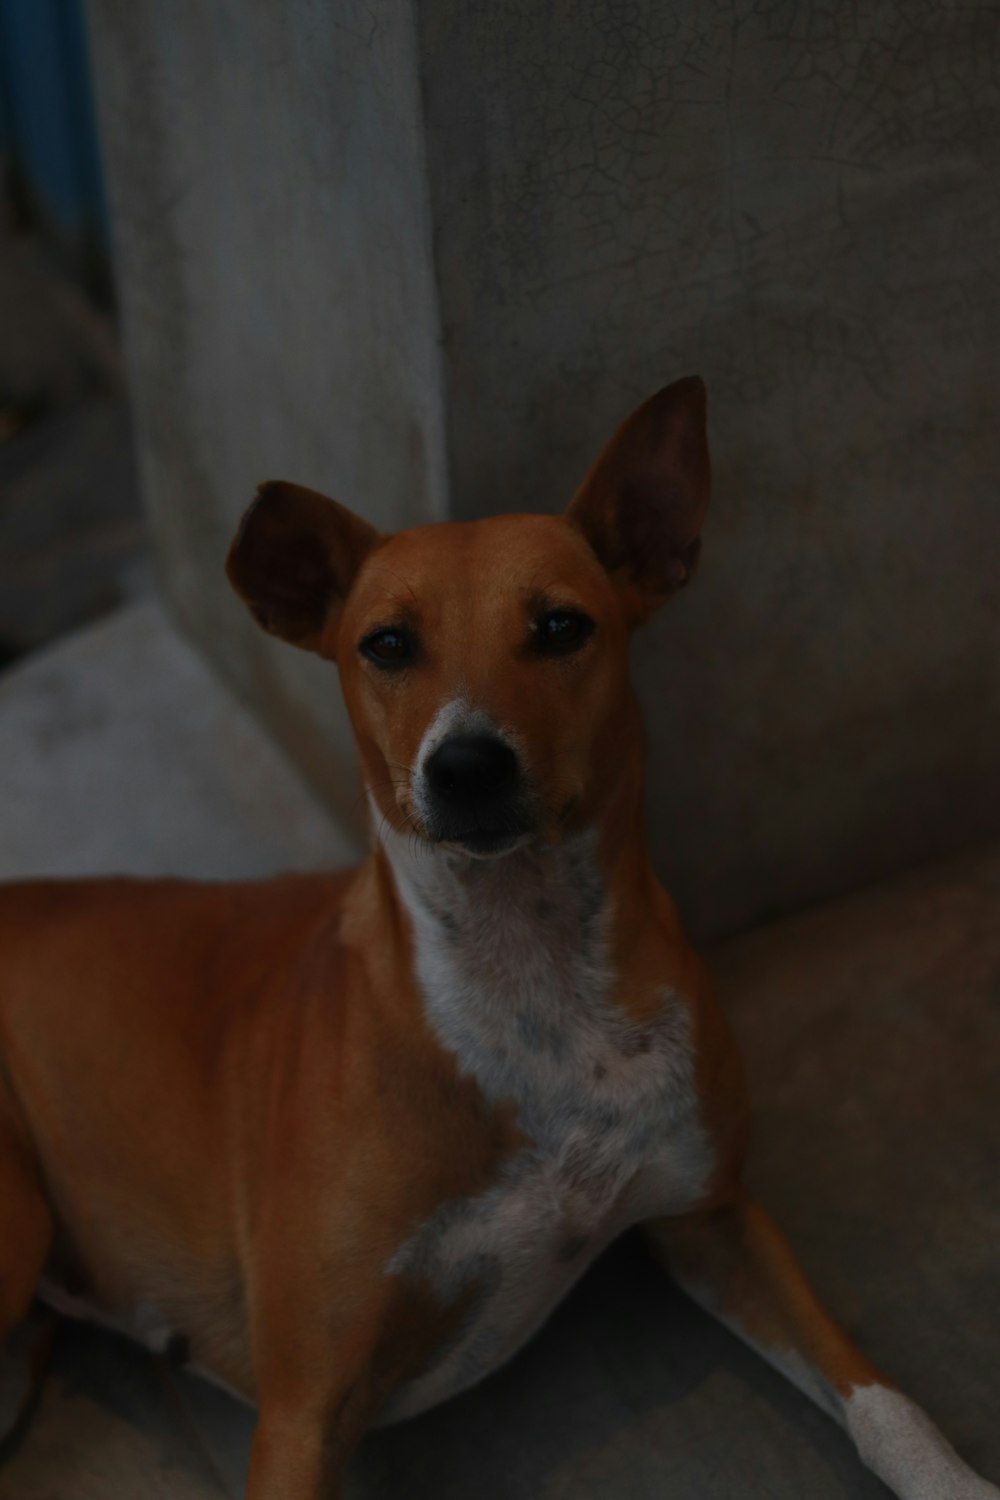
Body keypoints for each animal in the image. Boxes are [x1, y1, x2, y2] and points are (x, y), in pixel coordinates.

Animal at [1, 381, 1000, 1494]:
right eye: (387, 644)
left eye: (562, 626)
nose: (467, 766)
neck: (526, 971)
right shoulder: (302, 1409)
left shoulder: (715, 1217)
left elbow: (879, 1399)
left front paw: (954, 1480)